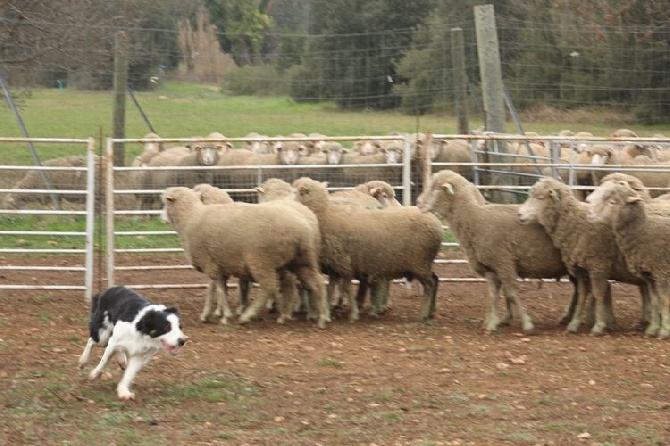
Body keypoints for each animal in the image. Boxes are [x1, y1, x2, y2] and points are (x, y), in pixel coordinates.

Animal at [163, 185, 330, 328]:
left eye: (165, 202)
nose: (161, 217)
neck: (190, 217)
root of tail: (303, 228)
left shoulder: (210, 263)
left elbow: (218, 289)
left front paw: (224, 315)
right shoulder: (219, 264)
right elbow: (216, 288)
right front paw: (210, 313)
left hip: (262, 260)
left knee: (269, 287)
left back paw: (249, 316)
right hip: (301, 260)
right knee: (316, 282)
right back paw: (319, 317)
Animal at [292, 176, 440, 322]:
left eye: (295, 192)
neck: (325, 214)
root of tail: (436, 223)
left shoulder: (343, 263)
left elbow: (346, 287)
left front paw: (353, 313)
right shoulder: (334, 265)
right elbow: (330, 288)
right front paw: (327, 310)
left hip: (419, 262)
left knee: (429, 284)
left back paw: (422, 314)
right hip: (420, 264)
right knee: (435, 278)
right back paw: (430, 311)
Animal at [420, 169, 572, 332]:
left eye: (435, 188)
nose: (418, 202)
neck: (474, 218)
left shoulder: (503, 261)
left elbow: (511, 293)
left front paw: (526, 323)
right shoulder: (492, 266)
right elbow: (493, 294)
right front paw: (492, 323)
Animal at [588, 181, 670, 338]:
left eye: (613, 202)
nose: (588, 213)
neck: (644, 230)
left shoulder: (662, 271)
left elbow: (664, 301)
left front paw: (664, 331)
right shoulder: (649, 275)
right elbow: (655, 301)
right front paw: (652, 330)